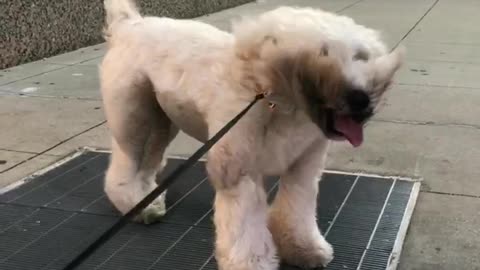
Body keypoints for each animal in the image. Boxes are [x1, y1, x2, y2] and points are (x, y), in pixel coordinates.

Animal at [101, 1, 404, 268]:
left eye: (361, 56)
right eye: (322, 53)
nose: (361, 99)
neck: (276, 102)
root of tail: (128, 24)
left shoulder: (302, 167)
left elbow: (297, 210)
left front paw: (302, 248)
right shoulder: (238, 172)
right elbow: (246, 230)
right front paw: (252, 263)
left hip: (160, 123)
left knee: (147, 164)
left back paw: (148, 199)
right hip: (133, 119)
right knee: (124, 168)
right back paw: (136, 204)